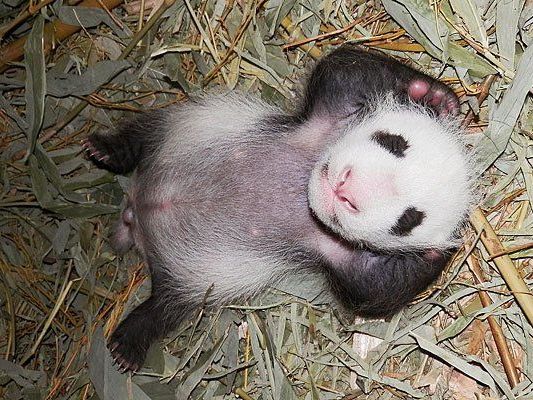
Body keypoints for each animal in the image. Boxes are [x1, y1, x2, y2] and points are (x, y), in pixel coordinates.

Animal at [84, 46, 474, 372]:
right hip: (177, 130)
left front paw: (433, 255)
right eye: (394, 143)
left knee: (166, 307)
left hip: (187, 278)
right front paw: (433, 96)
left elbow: (372, 292)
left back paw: (129, 342)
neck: (304, 189)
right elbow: (344, 68)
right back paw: (107, 149)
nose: (347, 189)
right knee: (142, 133)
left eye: (408, 220)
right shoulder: (329, 117)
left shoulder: (339, 254)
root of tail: (140, 212)